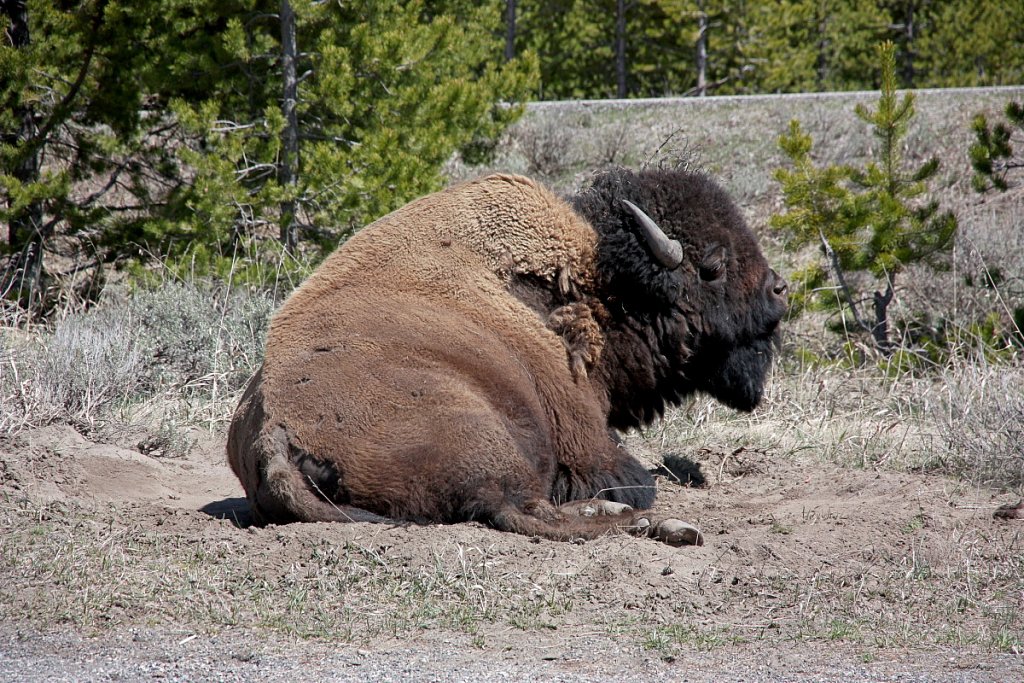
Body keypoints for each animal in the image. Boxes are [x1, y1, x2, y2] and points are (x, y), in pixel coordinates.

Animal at [228, 167, 786, 548]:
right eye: (713, 265)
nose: (780, 290)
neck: (593, 289)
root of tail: (274, 429)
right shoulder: (587, 440)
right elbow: (633, 478)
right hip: (484, 435)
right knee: (523, 510)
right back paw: (663, 525)